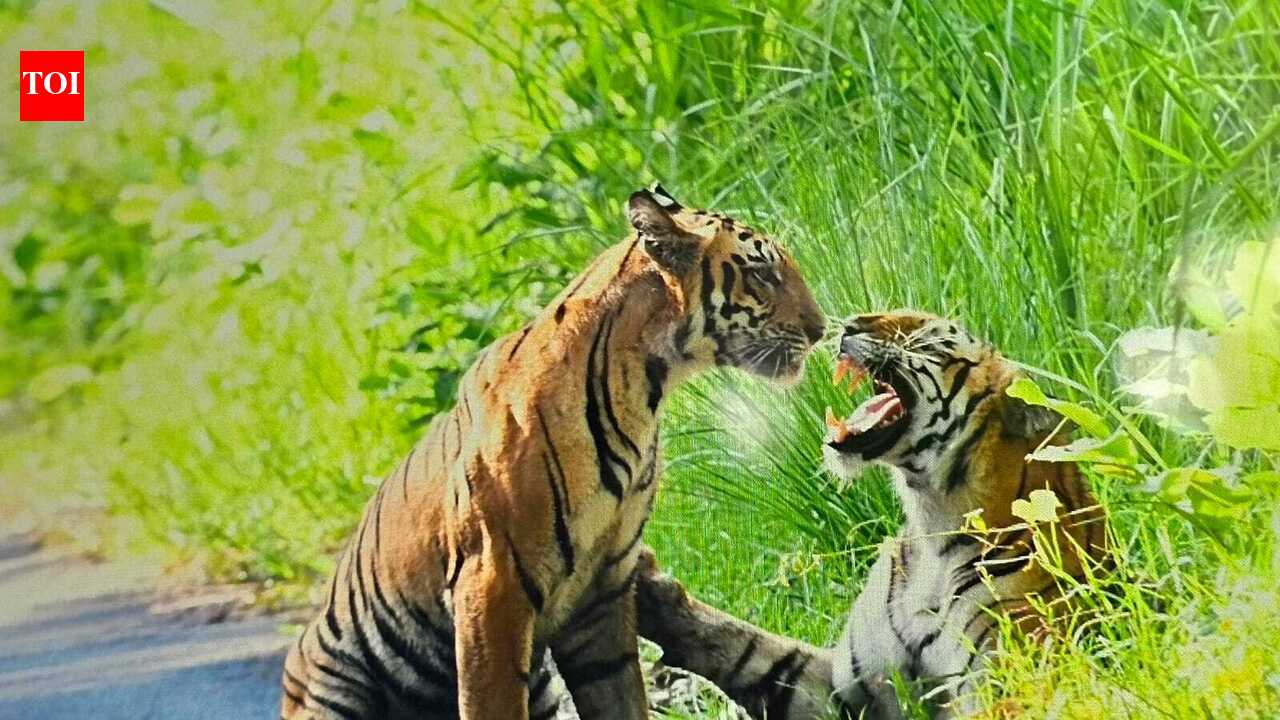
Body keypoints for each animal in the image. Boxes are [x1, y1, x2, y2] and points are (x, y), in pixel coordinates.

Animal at [279, 184, 826, 720]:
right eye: (762, 272)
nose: (821, 330)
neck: (647, 387)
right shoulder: (493, 583)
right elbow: (493, 704)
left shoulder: (601, 590)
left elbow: (623, 696)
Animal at [635, 310, 1110, 719]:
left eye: (926, 339)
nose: (849, 325)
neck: (933, 527)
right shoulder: (847, 687)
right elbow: (754, 649)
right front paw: (650, 591)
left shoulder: (1008, 686)